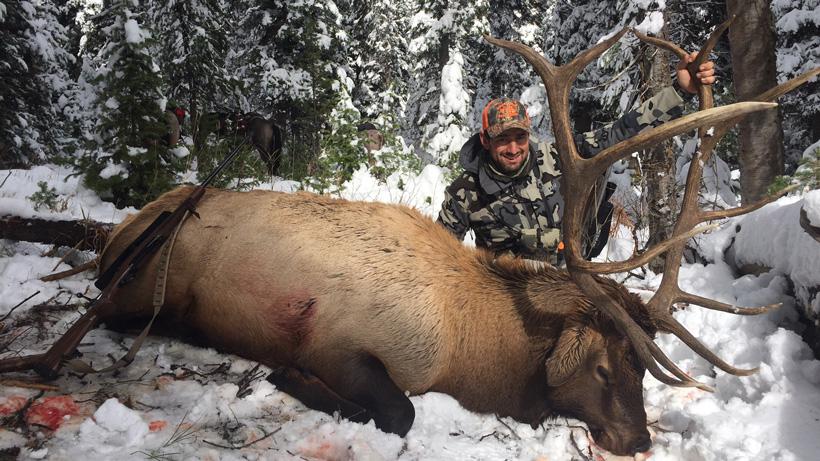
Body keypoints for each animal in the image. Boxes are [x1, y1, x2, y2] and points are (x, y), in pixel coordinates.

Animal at [1, 17, 817, 456]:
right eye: (607, 365)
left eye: (644, 370)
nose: (638, 439)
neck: (469, 348)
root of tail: (123, 233)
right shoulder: (340, 339)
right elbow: (397, 410)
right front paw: (284, 379)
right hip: (140, 286)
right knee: (101, 315)